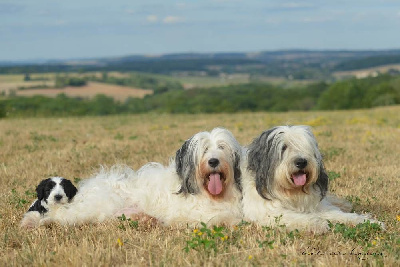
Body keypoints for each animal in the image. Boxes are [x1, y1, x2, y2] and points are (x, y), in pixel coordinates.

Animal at [239, 126, 382, 233]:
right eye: (284, 147)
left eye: (305, 147)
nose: (301, 162)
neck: (290, 191)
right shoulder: (267, 212)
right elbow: (297, 217)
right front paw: (318, 223)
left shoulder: (317, 206)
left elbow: (336, 214)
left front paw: (369, 222)